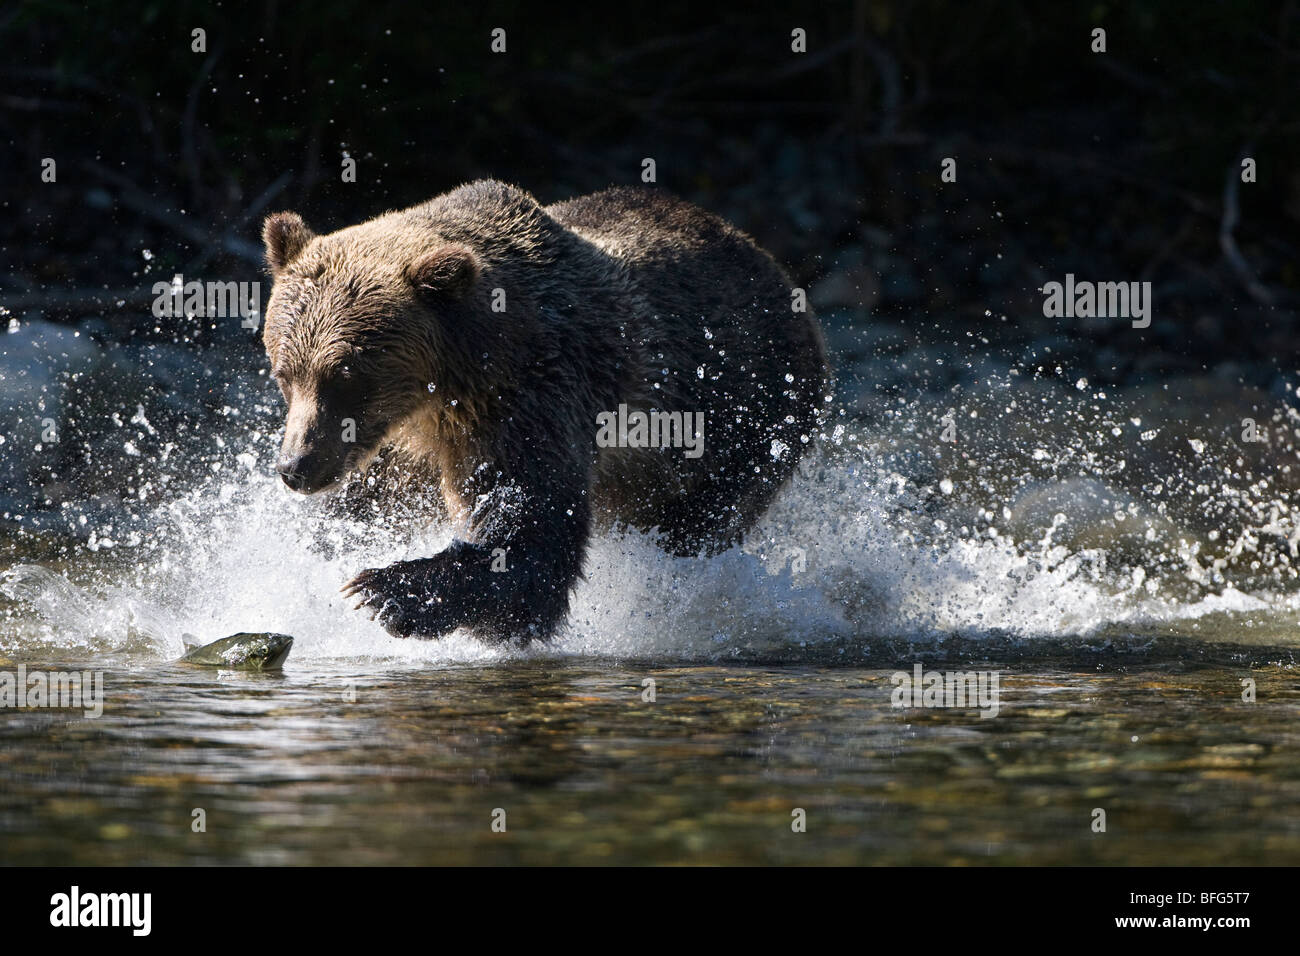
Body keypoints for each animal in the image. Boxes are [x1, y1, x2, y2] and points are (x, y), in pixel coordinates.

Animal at [260, 179, 826, 642]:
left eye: (346, 377)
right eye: (285, 372)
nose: (296, 467)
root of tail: (768, 264)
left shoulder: (526, 397)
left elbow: (532, 527)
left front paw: (388, 591)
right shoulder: (396, 449)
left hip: (747, 412)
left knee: (702, 516)